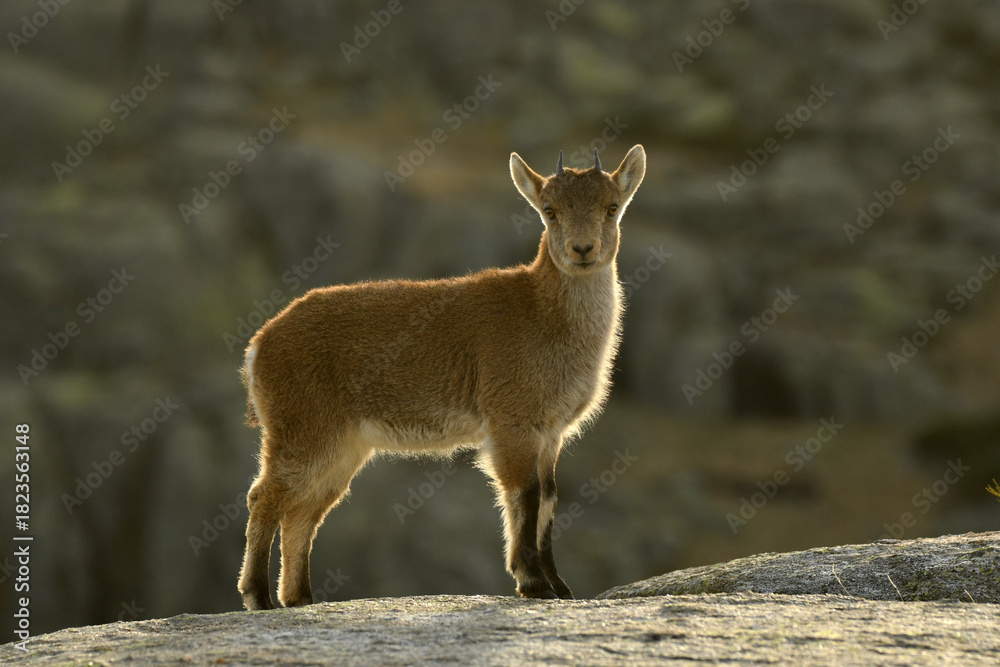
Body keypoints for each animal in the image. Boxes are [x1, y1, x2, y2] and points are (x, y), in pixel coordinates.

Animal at [238, 145, 646, 609]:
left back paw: (300, 598)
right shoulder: (512, 420)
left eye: (612, 207)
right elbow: (524, 493)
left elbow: (549, 497)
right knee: (265, 496)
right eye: (550, 211)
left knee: (303, 511)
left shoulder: (551, 432)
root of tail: (259, 344)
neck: (542, 315)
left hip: (342, 446)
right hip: (303, 428)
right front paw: (533, 583)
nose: (582, 249)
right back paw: (258, 595)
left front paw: (561, 587)